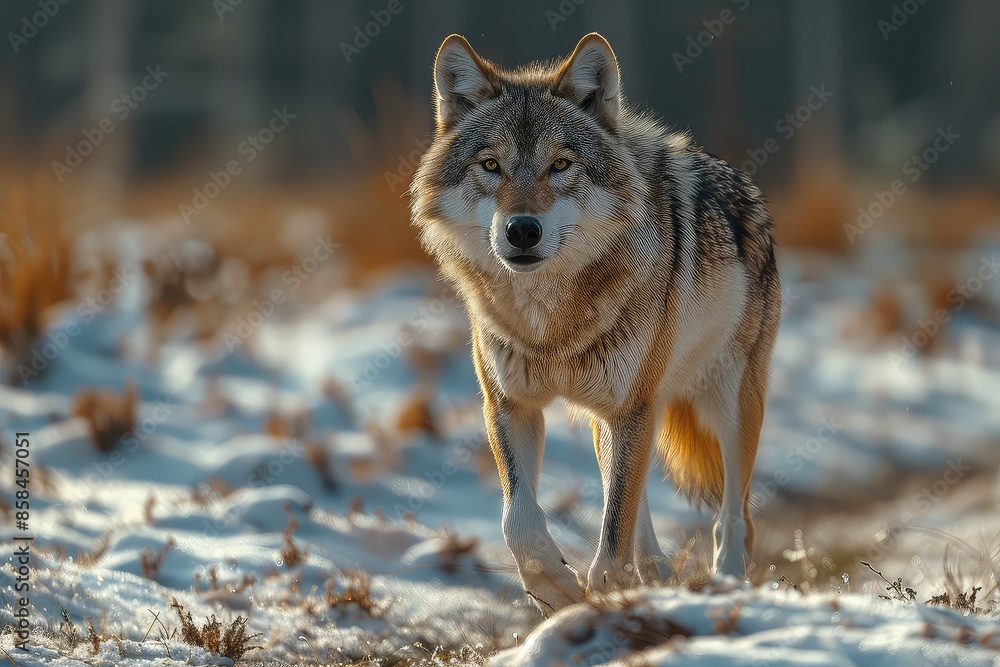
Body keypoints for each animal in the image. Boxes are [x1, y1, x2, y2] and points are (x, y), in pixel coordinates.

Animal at [409, 32, 780, 615]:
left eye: (561, 164)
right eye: (490, 165)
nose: (522, 230)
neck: (551, 325)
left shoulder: (632, 407)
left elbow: (613, 532)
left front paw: (602, 592)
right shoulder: (510, 405)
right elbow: (518, 517)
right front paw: (554, 587)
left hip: (727, 406)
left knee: (733, 520)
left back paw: (725, 587)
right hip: (613, 420)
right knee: (636, 506)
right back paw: (654, 575)